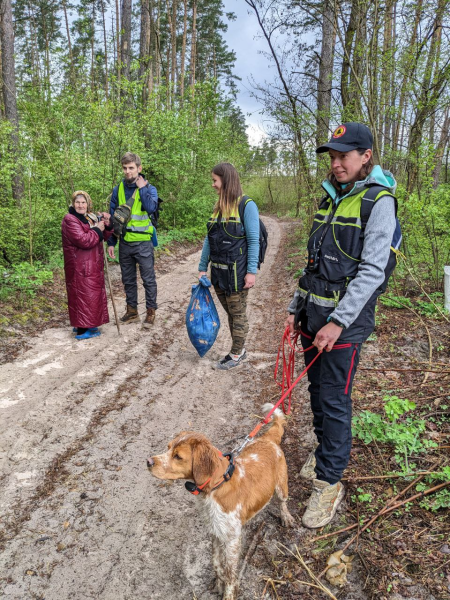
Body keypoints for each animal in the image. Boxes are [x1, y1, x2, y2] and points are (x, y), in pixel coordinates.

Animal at [148, 404, 296, 600]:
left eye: (178, 456)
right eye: (168, 447)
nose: (148, 461)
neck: (215, 488)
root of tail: (267, 439)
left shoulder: (232, 539)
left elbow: (230, 573)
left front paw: (228, 593)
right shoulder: (215, 532)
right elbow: (216, 563)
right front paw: (218, 585)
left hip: (281, 486)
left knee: (282, 502)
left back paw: (286, 516)